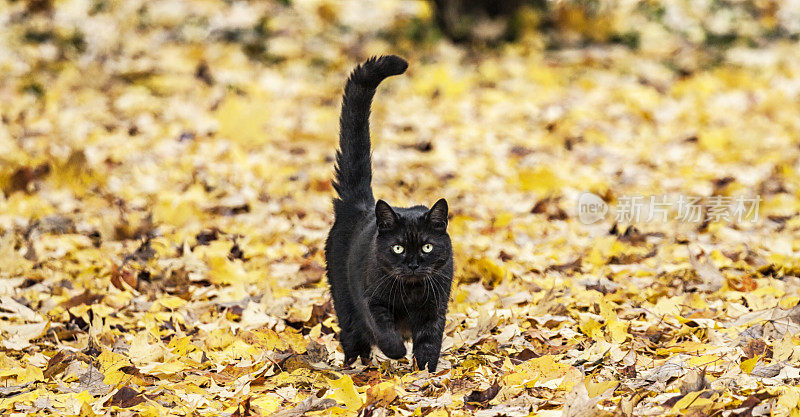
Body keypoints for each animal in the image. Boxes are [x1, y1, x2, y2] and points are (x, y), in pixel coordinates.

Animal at [322, 55, 454, 370]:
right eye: (397, 248)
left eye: (428, 246)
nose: (413, 264)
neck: (411, 291)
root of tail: (358, 205)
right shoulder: (372, 301)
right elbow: (383, 329)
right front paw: (397, 351)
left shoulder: (436, 306)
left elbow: (430, 341)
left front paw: (425, 370)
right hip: (343, 298)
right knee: (352, 335)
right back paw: (355, 365)